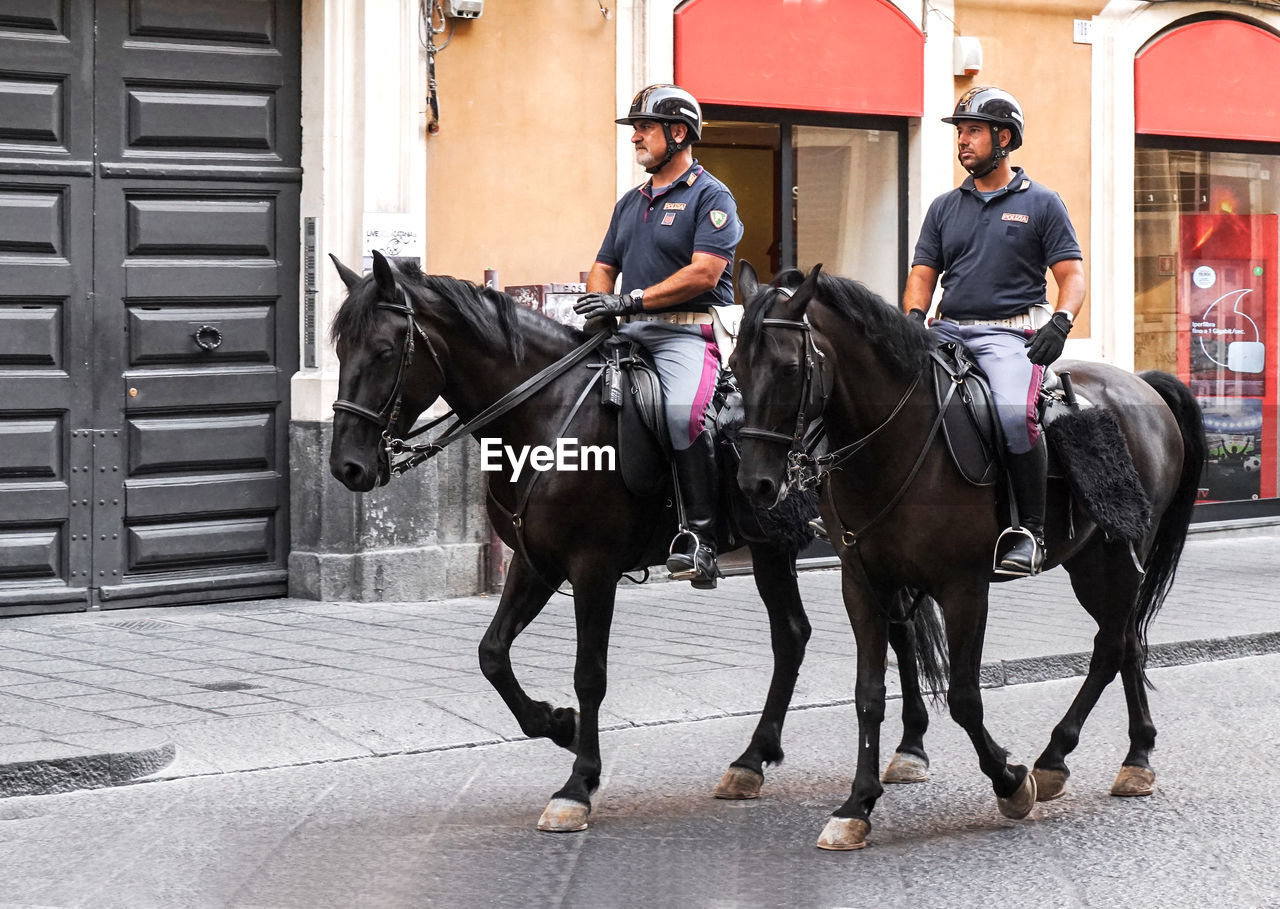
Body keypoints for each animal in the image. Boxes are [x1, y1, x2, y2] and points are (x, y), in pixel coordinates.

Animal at [327, 252, 952, 834]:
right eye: (337, 350)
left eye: (383, 351)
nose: (346, 467)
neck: (548, 412)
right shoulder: (534, 563)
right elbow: (492, 654)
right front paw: (557, 725)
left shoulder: (592, 566)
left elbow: (589, 673)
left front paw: (578, 784)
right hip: (779, 546)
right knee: (798, 636)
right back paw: (756, 759)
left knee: (888, 628)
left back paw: (909, 749)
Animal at [732, 263, 1208, 855]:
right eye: (734, 367)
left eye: (790, 367)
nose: (755, 483)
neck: (895, 442)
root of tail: (1143, 383)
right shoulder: (864, 584)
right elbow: (869, 695)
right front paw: (856, 806)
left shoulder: (963, 588)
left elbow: (963, 697)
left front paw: (1010, 781)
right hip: (1089, 562)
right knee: (1129, 645)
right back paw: (1134, 756)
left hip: (1121, 557)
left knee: (1112, 646)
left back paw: (1057, 759)